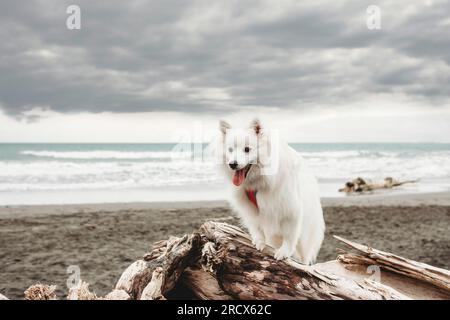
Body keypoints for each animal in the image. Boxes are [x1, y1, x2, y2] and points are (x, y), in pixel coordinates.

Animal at [217, 119, 326, 264]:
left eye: (247, 149)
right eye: (230, 149)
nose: (233, 164)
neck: (258, 181)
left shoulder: (290, 209)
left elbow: (289, 235)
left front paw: (284, 252)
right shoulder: (250, 209)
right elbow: (256, 227)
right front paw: (259, 242)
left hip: (305, 237)